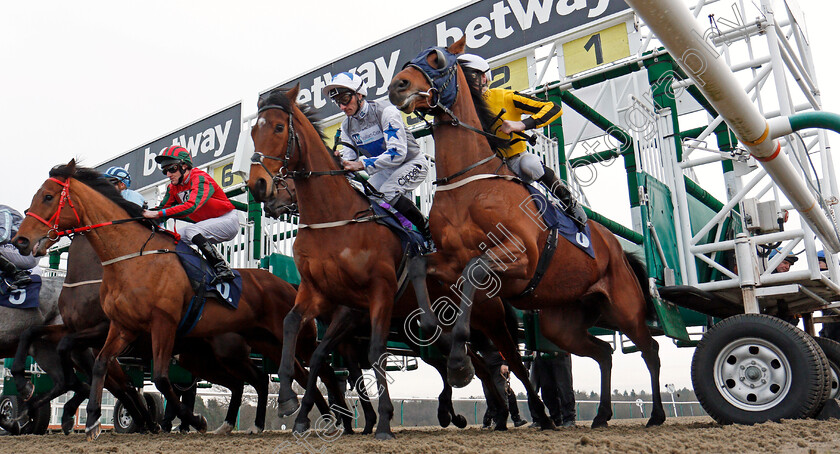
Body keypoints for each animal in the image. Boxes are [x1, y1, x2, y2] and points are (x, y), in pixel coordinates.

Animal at [10, 162, 344, 440]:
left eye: (48, 196)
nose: (21, 240)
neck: (131, 258)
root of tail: (287, 284)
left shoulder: (162, 324)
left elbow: (158, 378)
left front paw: (188, 420)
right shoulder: (122, 327)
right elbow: (101, 365)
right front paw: (90, 419)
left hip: (286, 338)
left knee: (319, 370)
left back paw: (329, 420)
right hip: (256, 344)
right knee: (273, 377)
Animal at [246, 88, 556, 432]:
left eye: (278, 128)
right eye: (253, 132)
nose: (259, 187)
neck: (335, 219)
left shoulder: (373, 294)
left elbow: (374, 352)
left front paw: (381, 420)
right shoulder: (320, 294)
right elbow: (295, 331)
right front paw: (292, 404)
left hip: (488, 316)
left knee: (508, 360)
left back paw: (534, 415)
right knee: (480, 364)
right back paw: (492, 412)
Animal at [388, 36, 668, 430]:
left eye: (436, 59)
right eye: (406, 63)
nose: (397, 86)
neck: (468, 183)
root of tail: (618, 249)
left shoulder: (520, 256)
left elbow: (475, 270)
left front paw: (458, 362)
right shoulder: (447, 260)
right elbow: (418, 266)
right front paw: (432, 329)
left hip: (624, 306)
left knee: (650, 350)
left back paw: (655, 414)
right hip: (561, 322)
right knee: (603, 352)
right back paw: (601, 415)